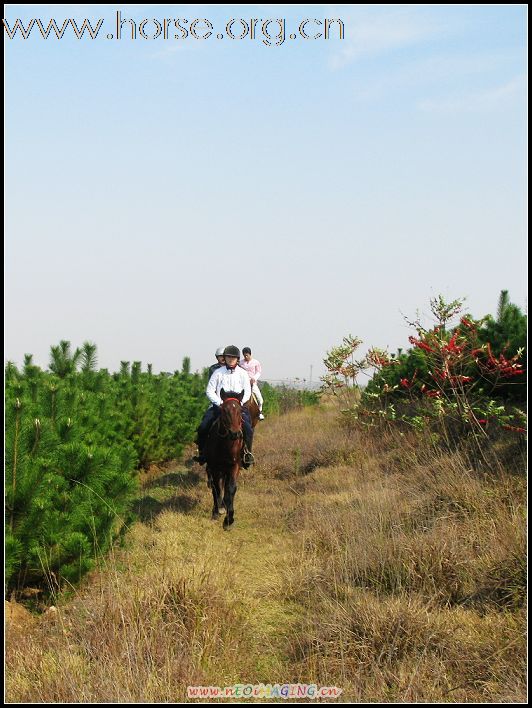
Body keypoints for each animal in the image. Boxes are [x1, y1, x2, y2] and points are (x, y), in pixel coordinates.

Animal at [206, 390, 245, 528]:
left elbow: (231, 489)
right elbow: (217, 489)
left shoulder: (235, 466)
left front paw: (229, 519)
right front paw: (216, 512)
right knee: (216, 487)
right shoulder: (214, 467)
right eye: (224, 410)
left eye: (240, 410)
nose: (235, 434)